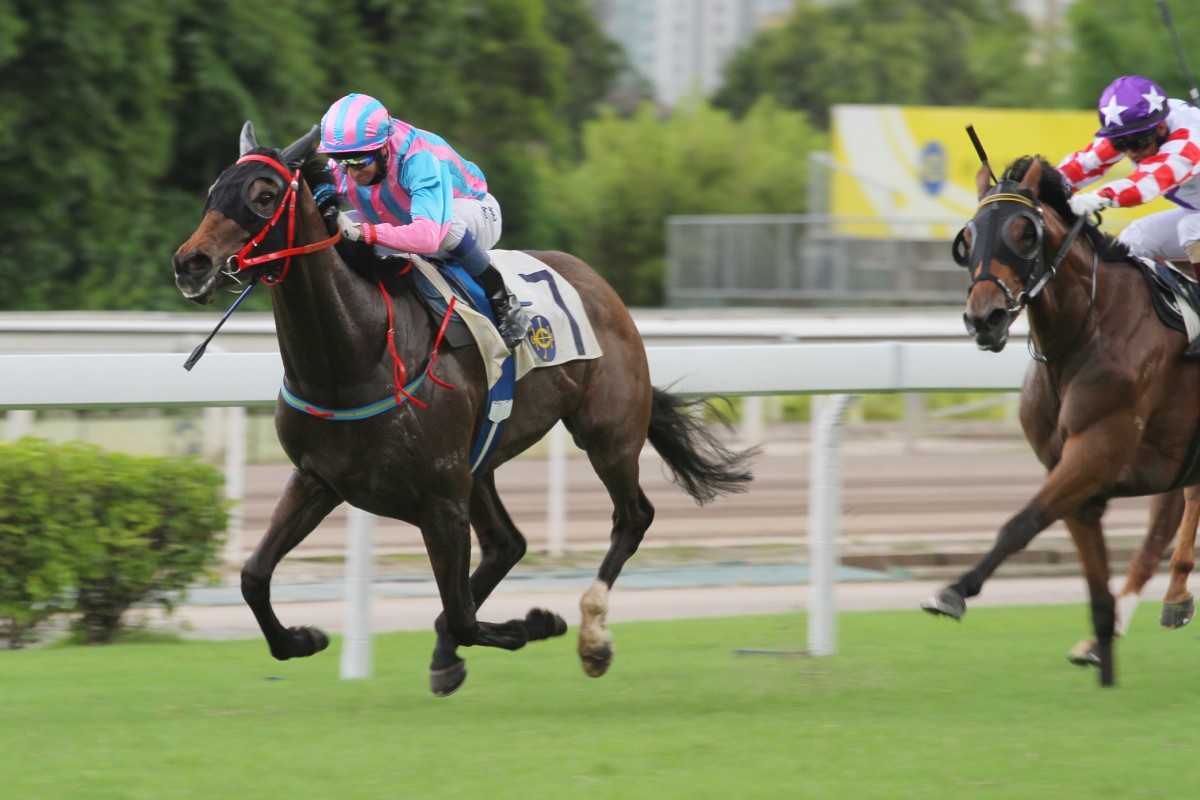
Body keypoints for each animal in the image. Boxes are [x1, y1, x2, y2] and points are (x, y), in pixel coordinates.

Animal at [171, 122, 748, 695]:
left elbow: (464, 616)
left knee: (631, 517)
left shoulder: (441, 498)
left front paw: (536, 624)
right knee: (507, 544)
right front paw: (301, 639)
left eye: (265, 195)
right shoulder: (318, 479)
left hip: (607, 433)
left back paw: (592, 638)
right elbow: (253, 576)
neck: (356, 358)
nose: (190, 263)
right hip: (482, 461)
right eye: (213, 190)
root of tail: (598, 284)